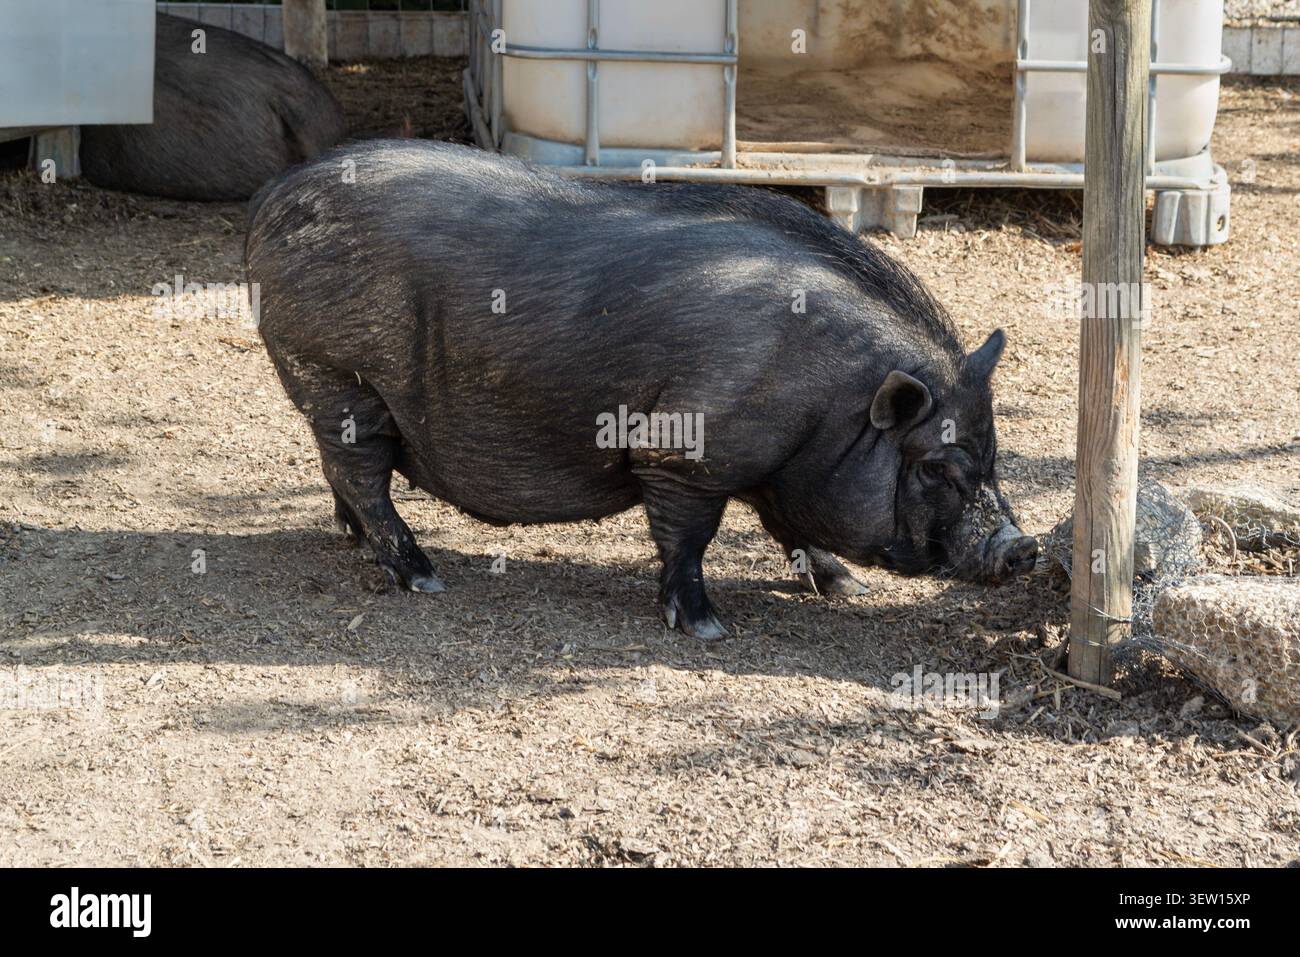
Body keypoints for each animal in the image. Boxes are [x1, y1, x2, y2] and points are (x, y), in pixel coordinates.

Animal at [245, 140, 1038, 640]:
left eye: (994, 457)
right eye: (936, 466)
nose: (1023, 548)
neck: (829, 405)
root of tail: (270, 202)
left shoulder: (776, 471)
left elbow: (792, 527)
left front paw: (847, 587)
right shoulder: (682, 456)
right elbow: (689, 539)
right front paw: (708, 629)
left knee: (345, 473)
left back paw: (356, 543)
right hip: (337, 373)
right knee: (362, 473)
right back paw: (422, 575)